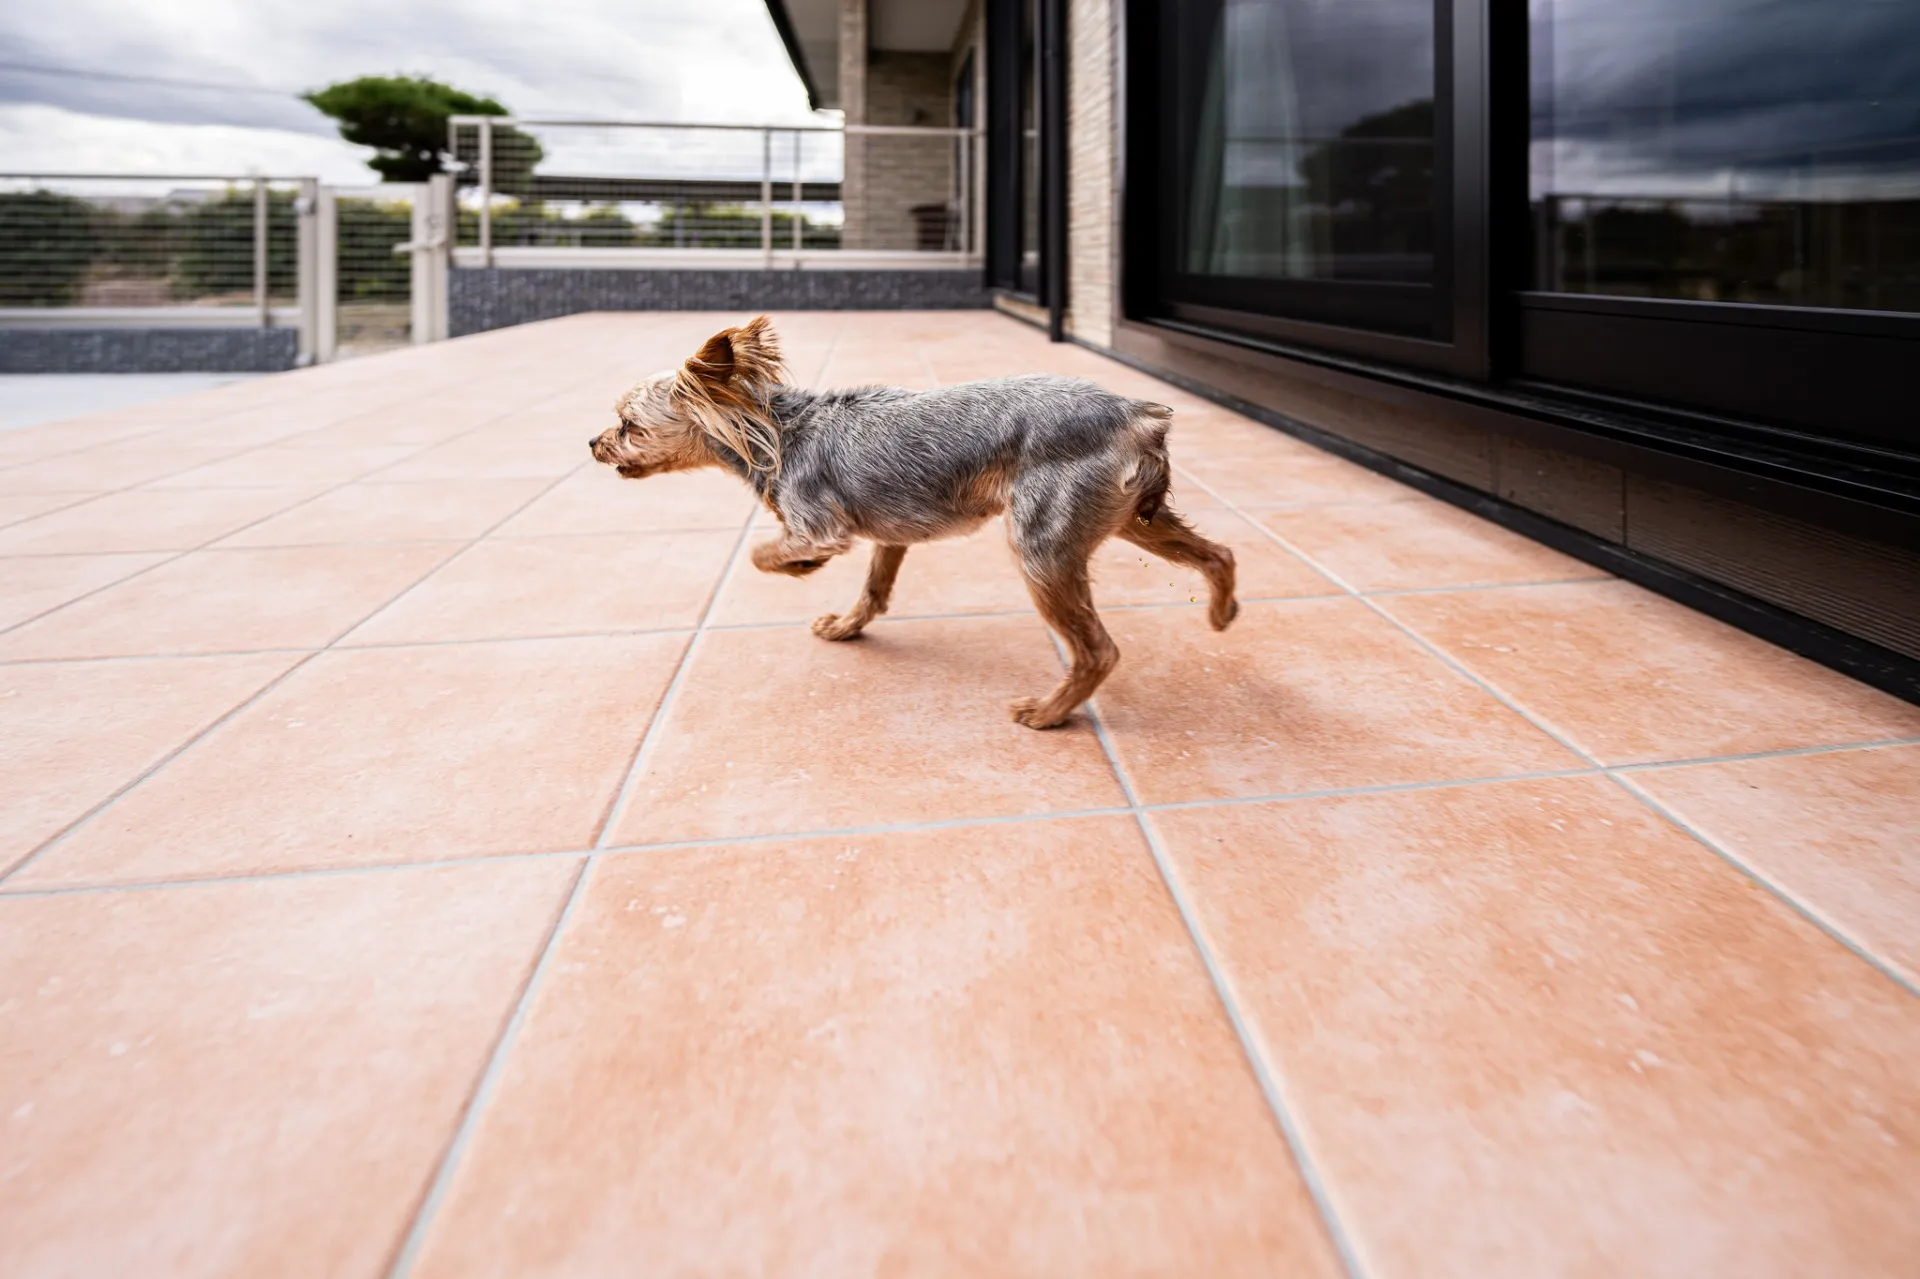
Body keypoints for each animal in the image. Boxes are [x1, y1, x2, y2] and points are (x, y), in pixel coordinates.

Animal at [587, 313, 1244, 725]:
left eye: (628, 425)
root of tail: (1140, 415)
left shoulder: (821, 523)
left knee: (1098, 651)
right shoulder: (889, 533)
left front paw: (799, 568)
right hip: (1133, 519)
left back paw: (1047, 714)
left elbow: (764, 551)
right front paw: (846, 626)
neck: (771, 429)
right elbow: (875, 589)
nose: (592, 443)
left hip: (1042, 543)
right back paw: (1222, 612)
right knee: (1220, 553)